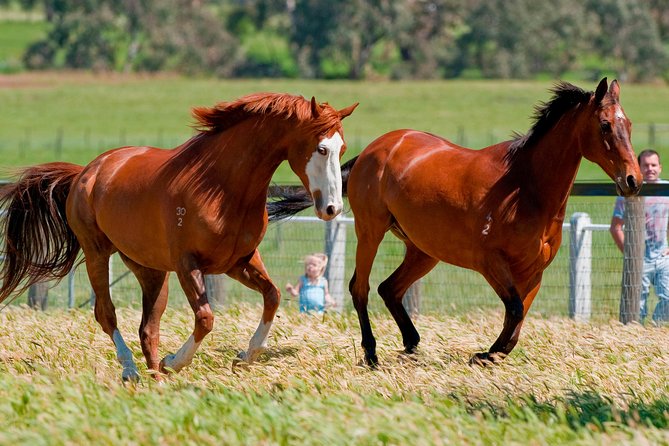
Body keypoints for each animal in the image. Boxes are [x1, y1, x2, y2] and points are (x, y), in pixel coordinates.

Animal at [0, 92, 354, 382]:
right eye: (322, 148)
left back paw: (155, 378)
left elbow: (273, 297)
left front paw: (245, 357)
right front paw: (175, 362)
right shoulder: (188, 265)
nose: (332, 208)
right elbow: (206, 318)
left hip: (152, 271)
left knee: (148, 328)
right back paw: (131, 370)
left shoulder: (238, 261)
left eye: (343, 149)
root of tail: (85, 172)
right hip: (97, 254)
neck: (220, 186)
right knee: (106, 313)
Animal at [270, 79, 640, 366]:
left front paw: (493, 354)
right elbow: (514, 309)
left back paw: (411, 344)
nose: (632, 180)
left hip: (423, 250)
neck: (523, 188)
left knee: (390, 288)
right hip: (370, 232)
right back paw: (372, 353)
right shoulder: (491, 263)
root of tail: (372, 150)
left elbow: (518, 318)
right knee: (360, 288)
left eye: (630, 125)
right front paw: (484, 354)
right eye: (605, 125)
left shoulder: (534, 272)